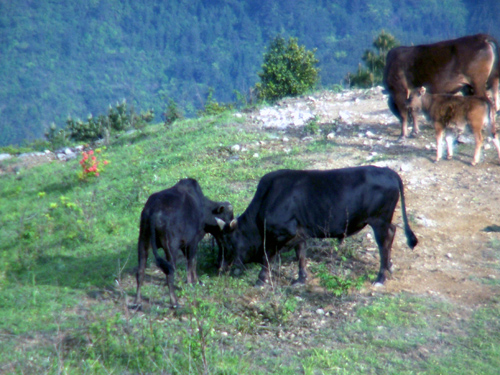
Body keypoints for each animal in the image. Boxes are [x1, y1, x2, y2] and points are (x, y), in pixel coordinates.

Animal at [134, 179, 233, 308]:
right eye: (227, 218)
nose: (229, 243)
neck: (203, 209)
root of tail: (153, 211)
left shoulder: (184, 245)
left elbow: (192, 262)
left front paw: (197, 281)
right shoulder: (192, 242)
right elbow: (192, 263)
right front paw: (191, 283)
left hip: (143, 241)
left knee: (140, 271)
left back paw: (138, 301)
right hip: (170, 247)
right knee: (169, 273)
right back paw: (174, 302)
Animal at [217, 167, 416, 288]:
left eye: (228, 242)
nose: (220, 268)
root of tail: (387, 171)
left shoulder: (281, 233)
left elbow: (268, 256)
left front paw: (261, 279)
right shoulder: (300, 232)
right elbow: (301, 255)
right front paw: (301, 279)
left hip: (378, 221)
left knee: (384, 243)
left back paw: (381, 277)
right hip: (383, 221)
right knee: (392, 233)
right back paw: (390, 266)